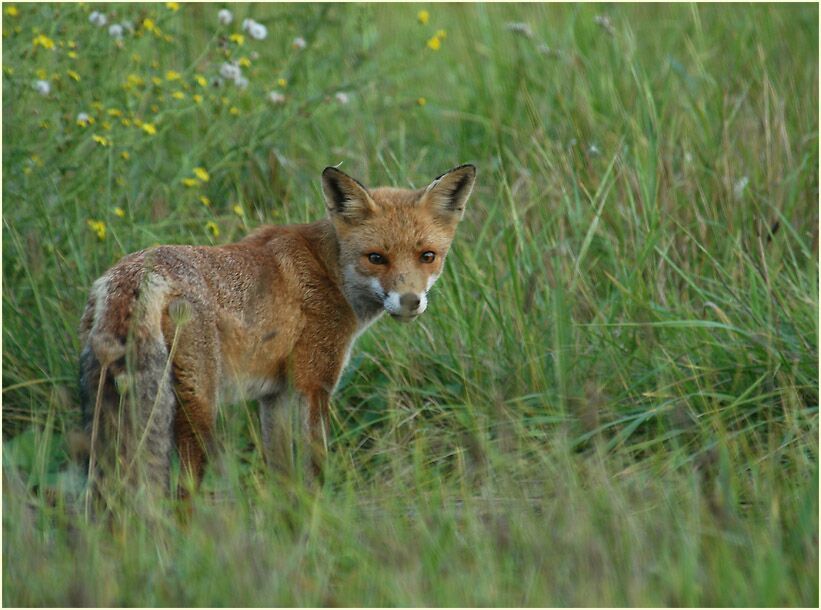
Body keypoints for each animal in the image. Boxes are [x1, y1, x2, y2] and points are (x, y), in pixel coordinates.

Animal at [79, 163, 477, 498]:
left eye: (428, 256)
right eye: (376, 258)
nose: (410, 302)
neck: (328, 271)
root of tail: (137, 273)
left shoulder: (275, 396)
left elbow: (282, 473)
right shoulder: (313, 384)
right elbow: (315, 466)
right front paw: (320, 513)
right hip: (198, 406)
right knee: (182, 492)